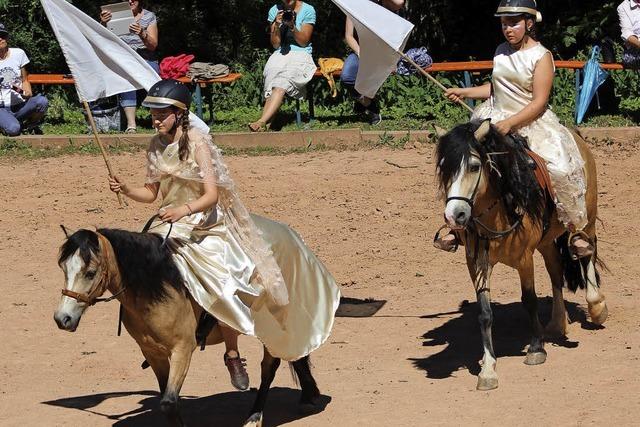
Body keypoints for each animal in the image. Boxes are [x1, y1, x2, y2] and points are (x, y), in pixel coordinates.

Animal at [52, 226, 320, 426]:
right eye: (63, 268)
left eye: (90, 272)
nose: (62, 318)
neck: (155, 286)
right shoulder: (153, 353)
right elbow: (167, 398)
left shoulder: (182, 349)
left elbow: (169, 402)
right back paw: (308, 396)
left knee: (269, 368)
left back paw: (254, 416)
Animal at [436, 119, 608, 392]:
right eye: (444, 168)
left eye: (474, 166)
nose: (455, 216)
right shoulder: (476, 262)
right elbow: (485, 313)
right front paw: (488, 369)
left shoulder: (524, 259)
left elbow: (530, 300)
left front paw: (536, 349)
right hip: (546, 242)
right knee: (556, 272)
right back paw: (557, 324)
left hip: (587, 217)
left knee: (586, 253)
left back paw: (596, 306)